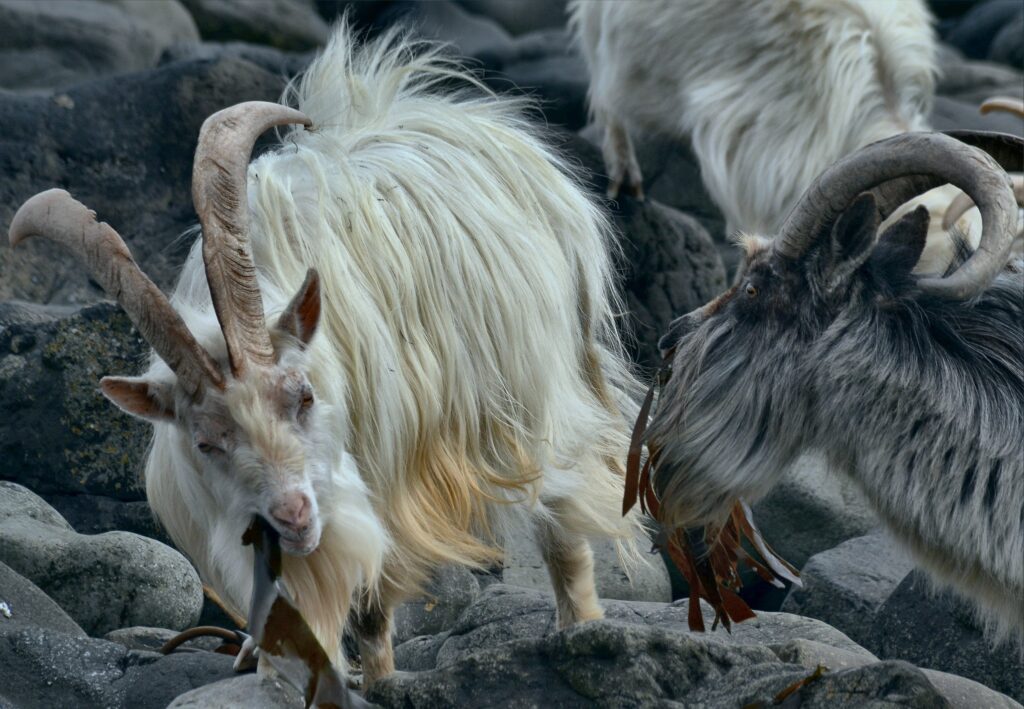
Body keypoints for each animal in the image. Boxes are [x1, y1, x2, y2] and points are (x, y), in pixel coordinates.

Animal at [8, 26, 644, 685]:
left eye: (304, 397)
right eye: (206, 442)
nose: (292, 516)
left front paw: (381, 683)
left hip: (539, 388)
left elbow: (371, 605)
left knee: (561, 518)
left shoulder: (378, 479)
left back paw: (580, 629)